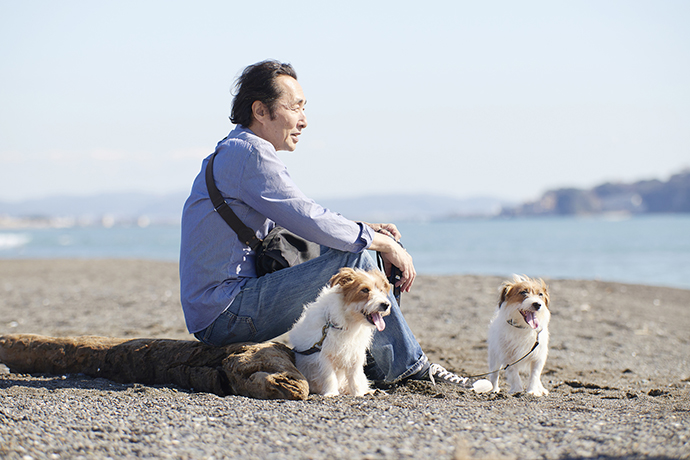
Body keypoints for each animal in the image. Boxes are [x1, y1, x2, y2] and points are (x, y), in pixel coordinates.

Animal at [288, 268, 390, 398]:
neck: (347, 324)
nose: (386, 305)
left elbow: (355, 378)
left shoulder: (355, 355)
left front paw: (358, 393)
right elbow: (329, 376)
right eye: (365, 290)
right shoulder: (324, 355)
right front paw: (331, 393)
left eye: (381, 290)